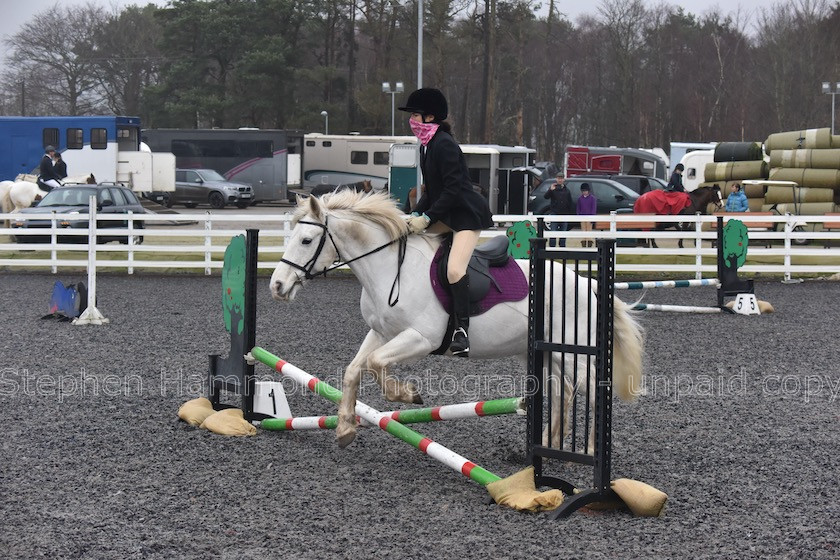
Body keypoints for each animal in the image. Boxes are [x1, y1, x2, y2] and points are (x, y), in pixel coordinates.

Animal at [270, 192, 644, 450]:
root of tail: (588, 284)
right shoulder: (381, 332)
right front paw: (346, 428)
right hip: (545, 352)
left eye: (306, 240)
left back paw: (589, 449)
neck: (389, 268)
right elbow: (354, 370)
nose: (277, 286)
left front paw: (407, 395)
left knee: (592, 388)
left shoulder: (421, 338)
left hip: (570, 352)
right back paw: (548, 445)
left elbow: (375, 364)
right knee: (562, 391)